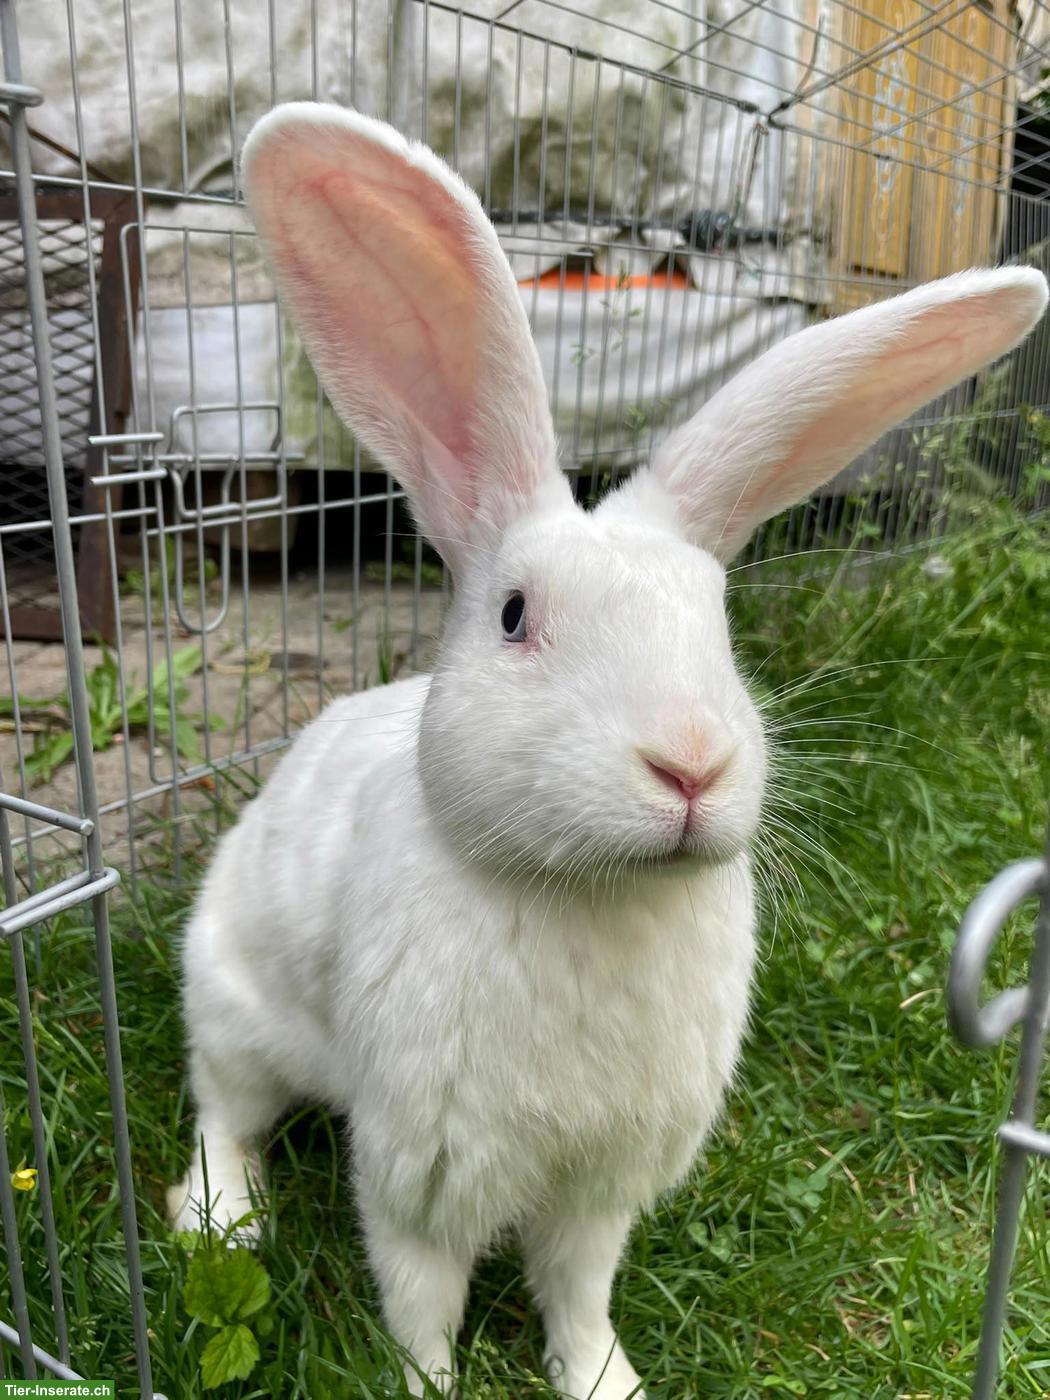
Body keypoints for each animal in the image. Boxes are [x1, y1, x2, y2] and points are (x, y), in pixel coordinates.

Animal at [167, 101, 1048, 1400]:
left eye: (719, 626)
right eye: (515, 616)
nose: (689, 763)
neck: (593, 897)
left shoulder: (602, 1185)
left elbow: (579, 1292)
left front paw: (607, 1381)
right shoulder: (423, 1161)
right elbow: (419, 1293)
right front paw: (429, 1388)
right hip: (230, 998)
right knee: (225, 1112)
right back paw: (216, 1220)